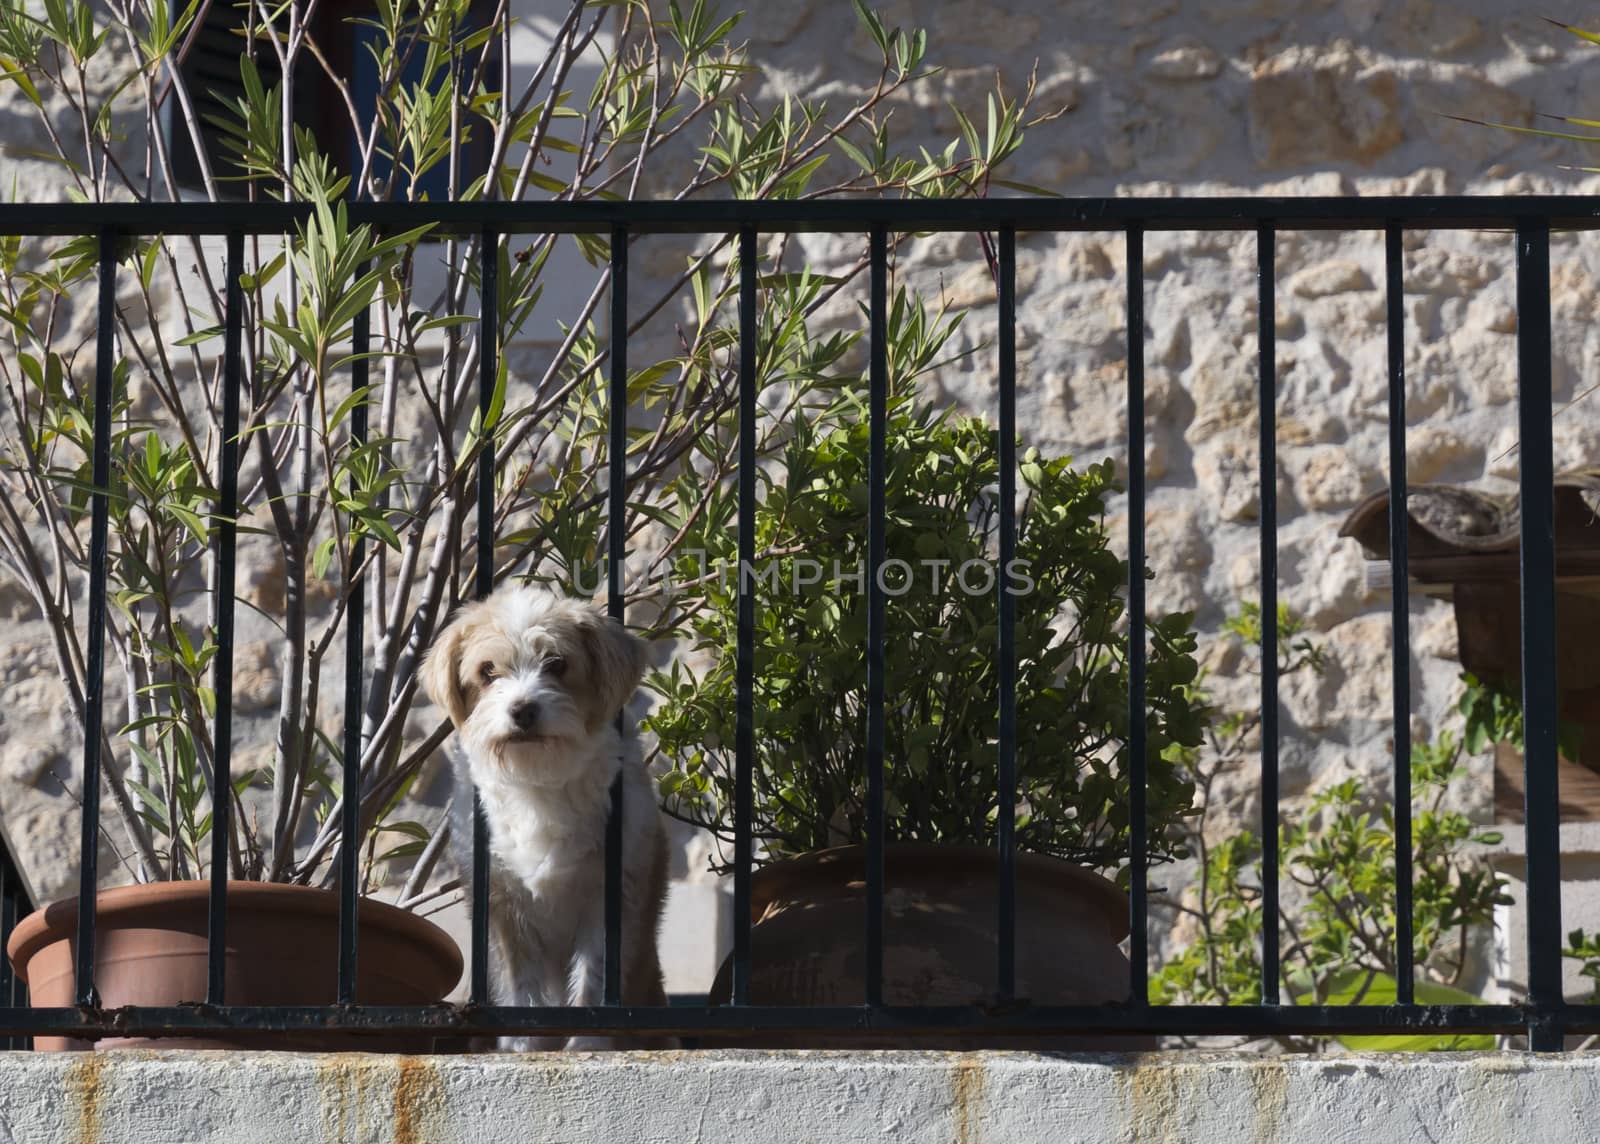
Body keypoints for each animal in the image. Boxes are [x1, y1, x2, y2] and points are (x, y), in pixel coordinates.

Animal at [419, 585, 668, 1049]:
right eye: (487, 671)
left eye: (557, 664)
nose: (522, 710)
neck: (538, 779)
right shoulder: (503, 909)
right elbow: (522, 989)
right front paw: (521, 1047)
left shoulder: (611, 895)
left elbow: (592, 978)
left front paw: (588, 1048)